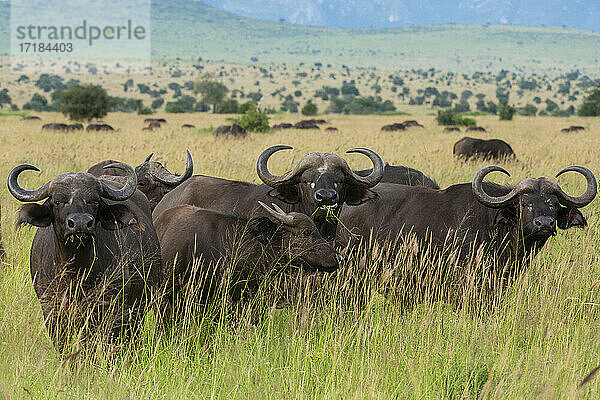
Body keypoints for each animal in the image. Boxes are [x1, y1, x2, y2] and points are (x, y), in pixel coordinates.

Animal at [8, 162, 162, 346]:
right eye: (57, 201)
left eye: (94, 201)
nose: (80, 223)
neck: (75, 274)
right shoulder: (51, 309)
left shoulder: (110, 309)